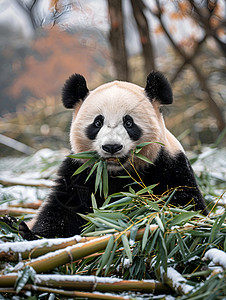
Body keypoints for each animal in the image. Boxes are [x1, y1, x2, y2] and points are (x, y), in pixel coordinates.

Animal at [16, 71, 209, 238]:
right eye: (97, 122)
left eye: (129, 122)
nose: (111, 147)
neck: (115, 173)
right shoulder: (79, 173)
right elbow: (62, 212)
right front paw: (28, 233)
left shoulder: (170, 167)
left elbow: (185, 208)